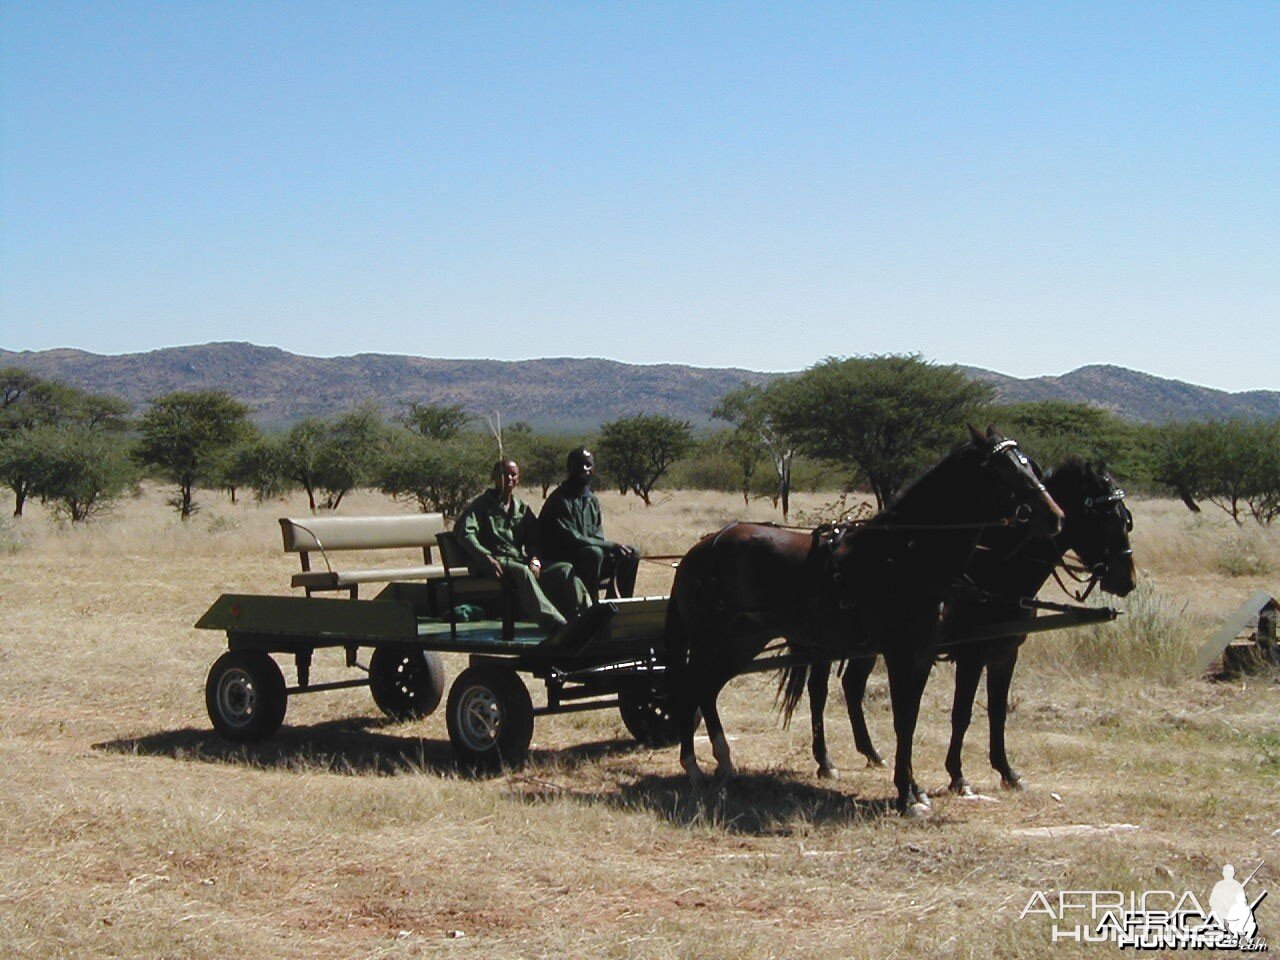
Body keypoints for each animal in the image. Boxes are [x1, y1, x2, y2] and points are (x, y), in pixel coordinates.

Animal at [665, 427, 1064, 814]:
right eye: (1004, 471)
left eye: (1030, 465)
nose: (1055, 517)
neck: (903, 554)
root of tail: (702, 547)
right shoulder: (901, 653)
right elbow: (903, 719)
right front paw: (907, 795)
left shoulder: (922, 654)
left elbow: (909, 717)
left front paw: (914, 789)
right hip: (712, 639)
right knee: (692, 685)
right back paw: (694, 765)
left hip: (743, 640)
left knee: (706, 688)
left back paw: (722, 763)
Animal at [793, 458, 1136, 798]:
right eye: (1106, 516)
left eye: (1126, 519)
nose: (1127, 581)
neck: (995, 571)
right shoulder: (972, 654)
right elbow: (962, 714)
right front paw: (958, 776)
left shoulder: (1004, 653)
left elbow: (998, 711)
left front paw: (1007, 772)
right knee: (819, 691)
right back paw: (825, 761)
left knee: (852, 685)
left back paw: (872, 753)